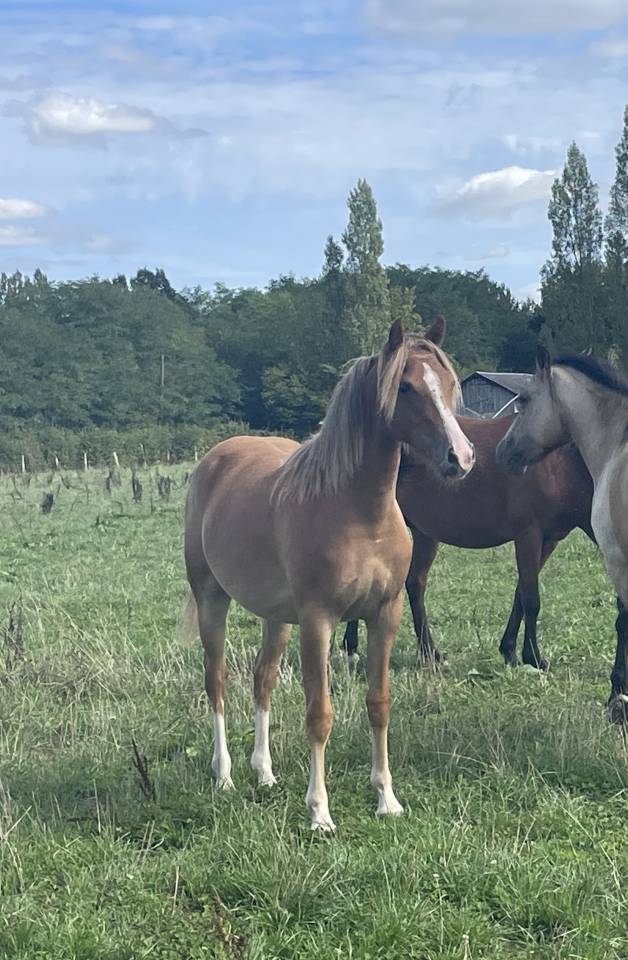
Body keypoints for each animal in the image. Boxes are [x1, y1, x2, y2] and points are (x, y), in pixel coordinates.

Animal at [182, 317, 475, 830]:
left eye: (448, 381)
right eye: (405, 386)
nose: (461, 456)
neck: (359, 513)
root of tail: (212, 460)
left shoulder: (385, 615)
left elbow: (379, 704)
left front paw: (387, 799)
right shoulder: (318, 621)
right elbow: (319, 714)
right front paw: (319, 811)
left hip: (277, 618)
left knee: (263, 678)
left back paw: (264, 772)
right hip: (211, 599)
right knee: (215, 681)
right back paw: (225, 775)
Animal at [343, 415, 594, 670]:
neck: (559, 465)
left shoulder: (549, 541)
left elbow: (520, 594)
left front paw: (509, 650)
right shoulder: (529, 535)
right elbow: (531, 599)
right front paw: (532, 656)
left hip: (424, 533)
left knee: (413, 582)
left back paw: (423, 652)